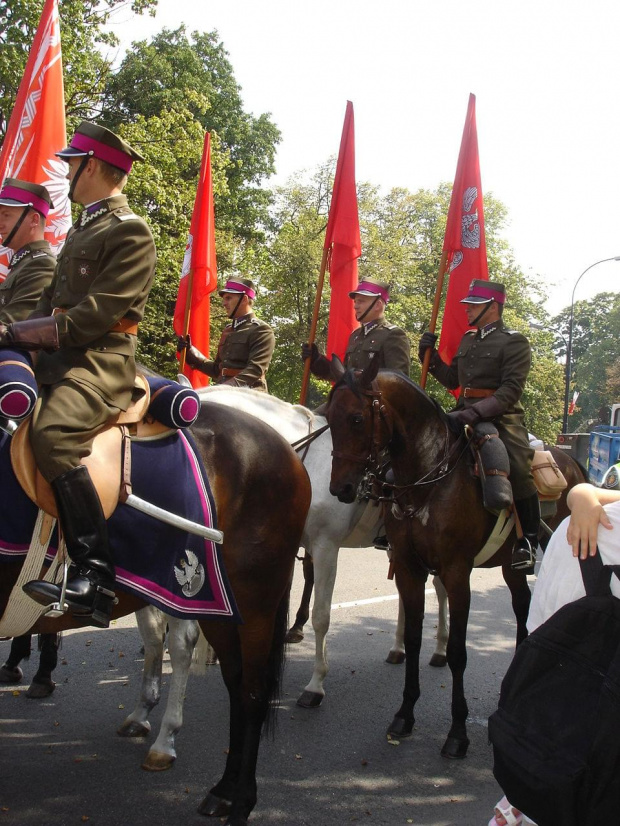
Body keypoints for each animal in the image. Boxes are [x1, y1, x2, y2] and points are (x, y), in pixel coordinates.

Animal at [0, 396, 310, 820]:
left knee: (251, 691)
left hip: (255, 605)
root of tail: (287, 451)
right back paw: (222, 790)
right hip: (222, 611)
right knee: (233, 683)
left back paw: (239, 798)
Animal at [324, 360, 588, 760]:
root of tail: (571, 458)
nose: (340, 488)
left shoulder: (457, 573)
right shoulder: (409, 570)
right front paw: (405, 713)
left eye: (356, 418)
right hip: (510, 566)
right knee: (522, 605)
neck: (428, 477)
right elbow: (414, 638)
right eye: (328, 416)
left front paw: (458, 732)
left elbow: (459, 652)